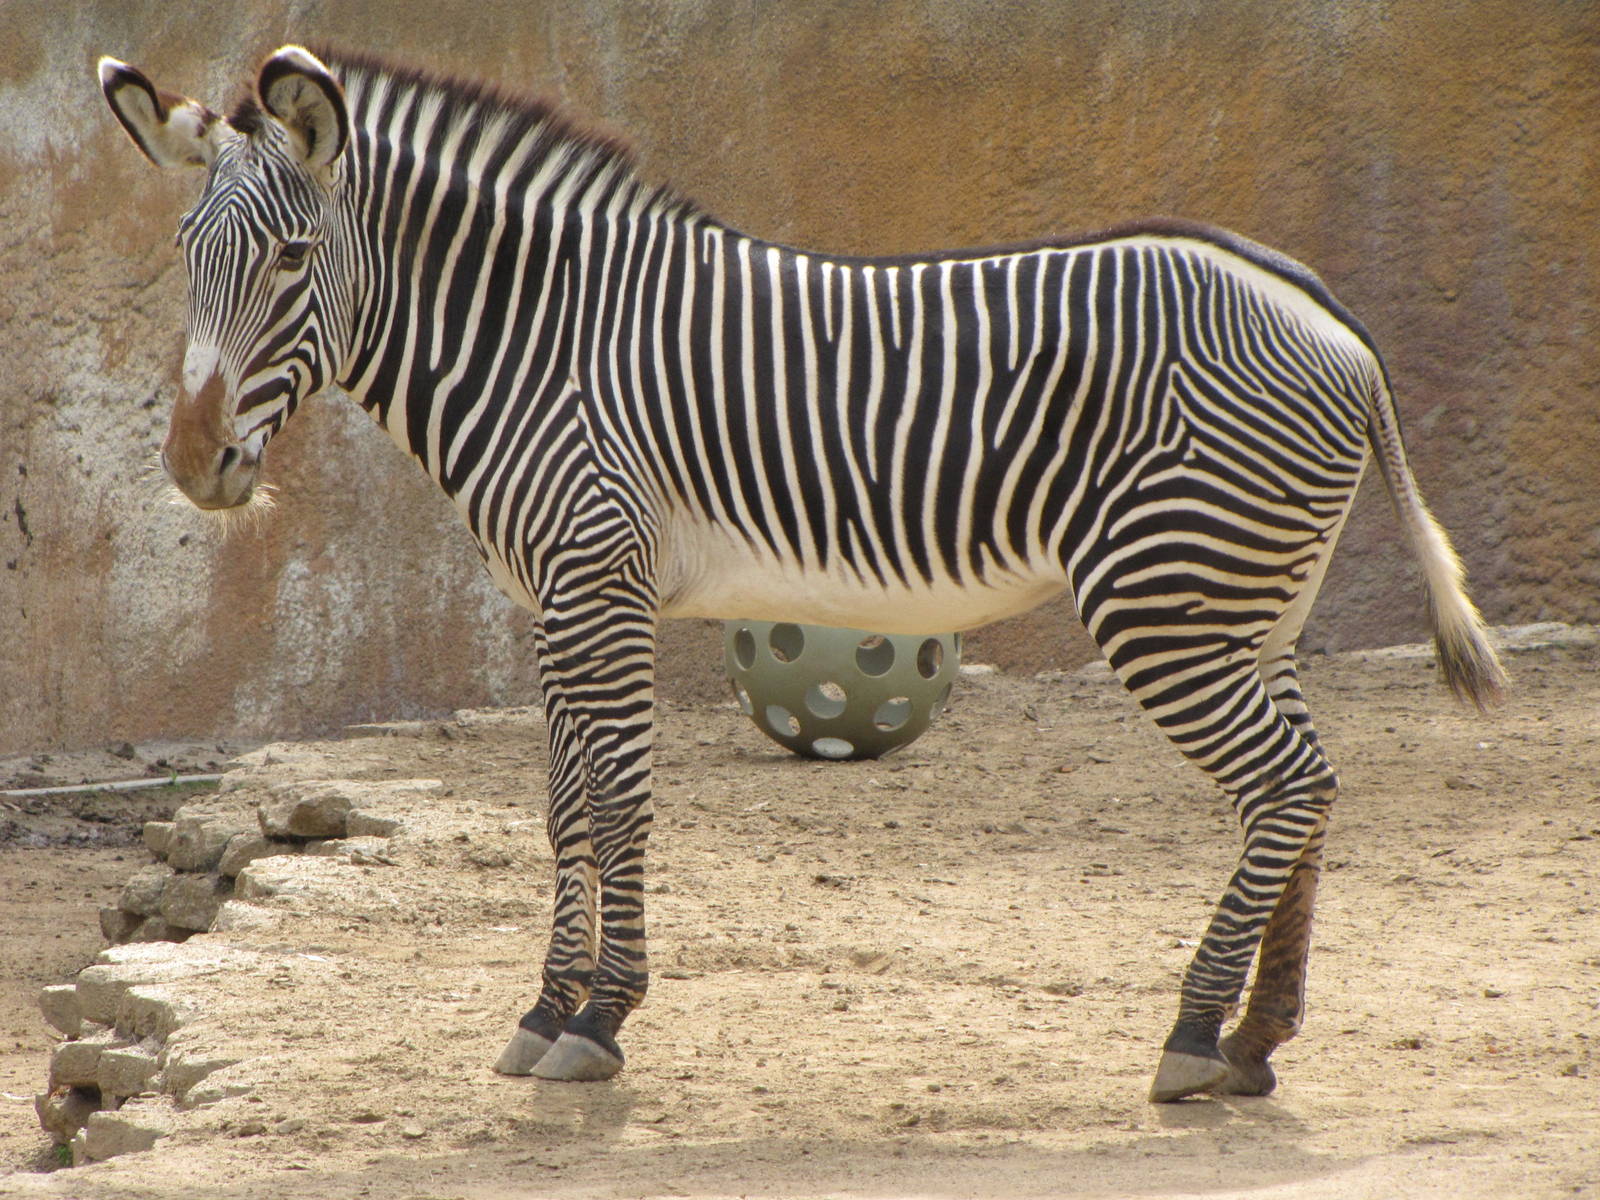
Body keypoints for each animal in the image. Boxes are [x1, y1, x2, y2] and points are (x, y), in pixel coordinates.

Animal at [98, 45, 1504, 1103]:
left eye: (290, 259)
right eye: (186, 254)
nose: (196, 465)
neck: (537, 342)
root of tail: (1323, 313)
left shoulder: (599, 580)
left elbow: (617, 801)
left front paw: (598, 1022)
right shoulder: (557, 599)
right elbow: (563, 810)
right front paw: (546, 1009)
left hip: (1162, 601)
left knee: (1285, 786)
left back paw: (1194, 1036)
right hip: (1246, 605)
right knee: (1307, 789)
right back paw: (1256, 1040)